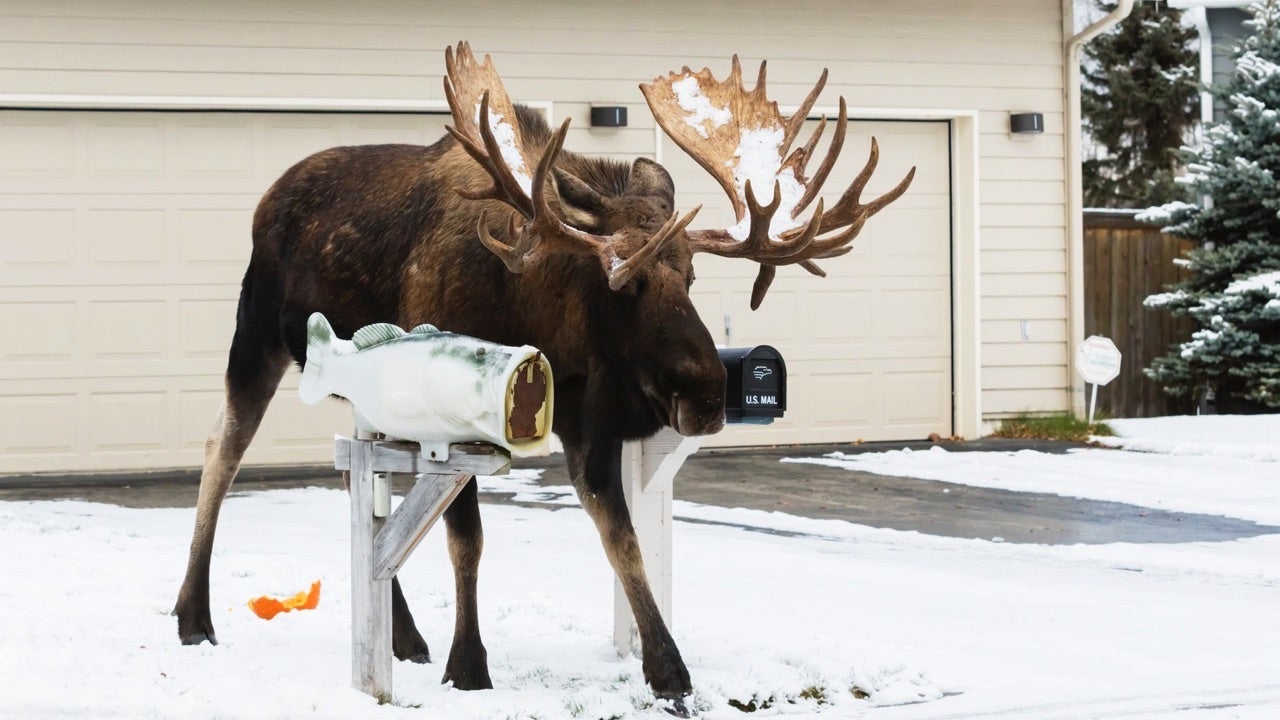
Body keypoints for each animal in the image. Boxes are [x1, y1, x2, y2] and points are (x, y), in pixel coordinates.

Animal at [173, 42, 914, 703]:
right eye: (624, 283)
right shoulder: (458, 421)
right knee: (222, 448)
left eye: (692, 276)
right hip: (256, 333)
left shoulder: (588, 421)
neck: (542, 318)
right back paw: (193, 614)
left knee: (361, 487)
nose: (707, 393)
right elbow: (468, 541)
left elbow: (620, 535)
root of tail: (268, 197)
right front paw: (469, 665)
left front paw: (667, 669)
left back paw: (403, 636)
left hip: (366, 386)